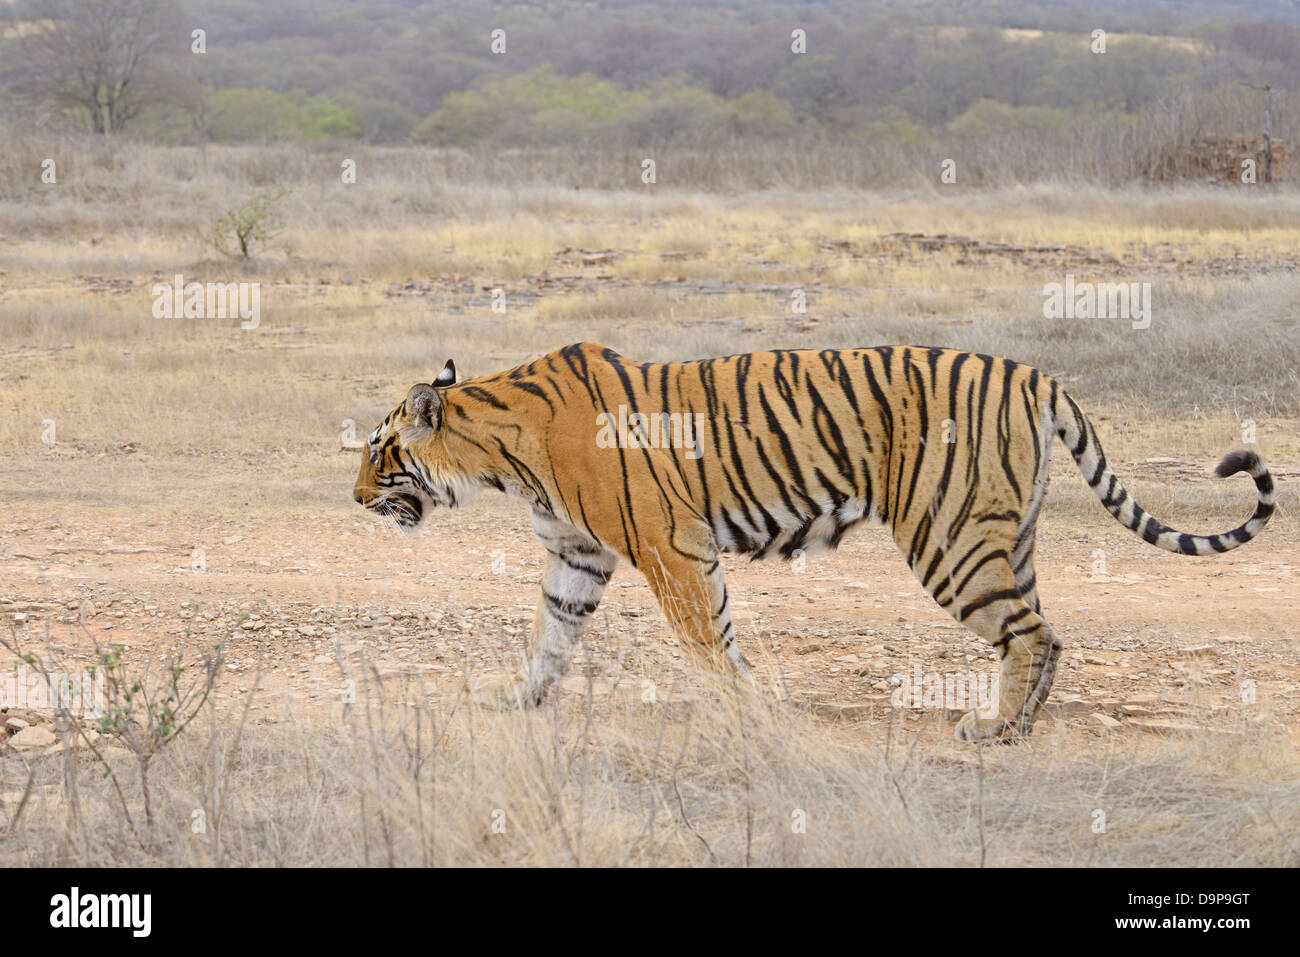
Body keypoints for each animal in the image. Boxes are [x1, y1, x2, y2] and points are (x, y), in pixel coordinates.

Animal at [351, 343, 1274, 738]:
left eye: (378, 451)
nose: (355, 498)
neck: (500, 451)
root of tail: (1033, 373)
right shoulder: (576, 556)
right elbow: (551, 635)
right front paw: (517, 701)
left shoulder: (672, 548)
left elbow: (709, 639)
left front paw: (749, 712)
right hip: (1009, 535)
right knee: (1048, 631)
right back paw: (1021, 723)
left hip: (951, 540)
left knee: (1031, 631)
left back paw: (993, 729)